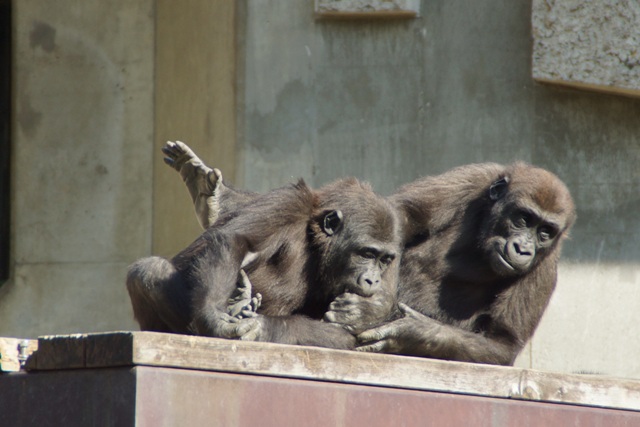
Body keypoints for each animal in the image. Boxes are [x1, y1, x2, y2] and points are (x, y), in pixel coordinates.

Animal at [126, 163, 400, 348]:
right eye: (367, 253)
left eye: (384, 260)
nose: (373, 280)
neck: (315, 238)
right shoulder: (288, 202)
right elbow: (236, 240)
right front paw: (214, 318)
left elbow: (344, 330)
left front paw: (263, 327)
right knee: (151, 270)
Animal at [164, 142, 576, 366]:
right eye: (523, 218)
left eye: (544, 232)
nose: (524, 247)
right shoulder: (474, 179)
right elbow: (401, 215)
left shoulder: (547, 269)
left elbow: (501, 343)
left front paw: (402, 326)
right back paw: (216, 202)